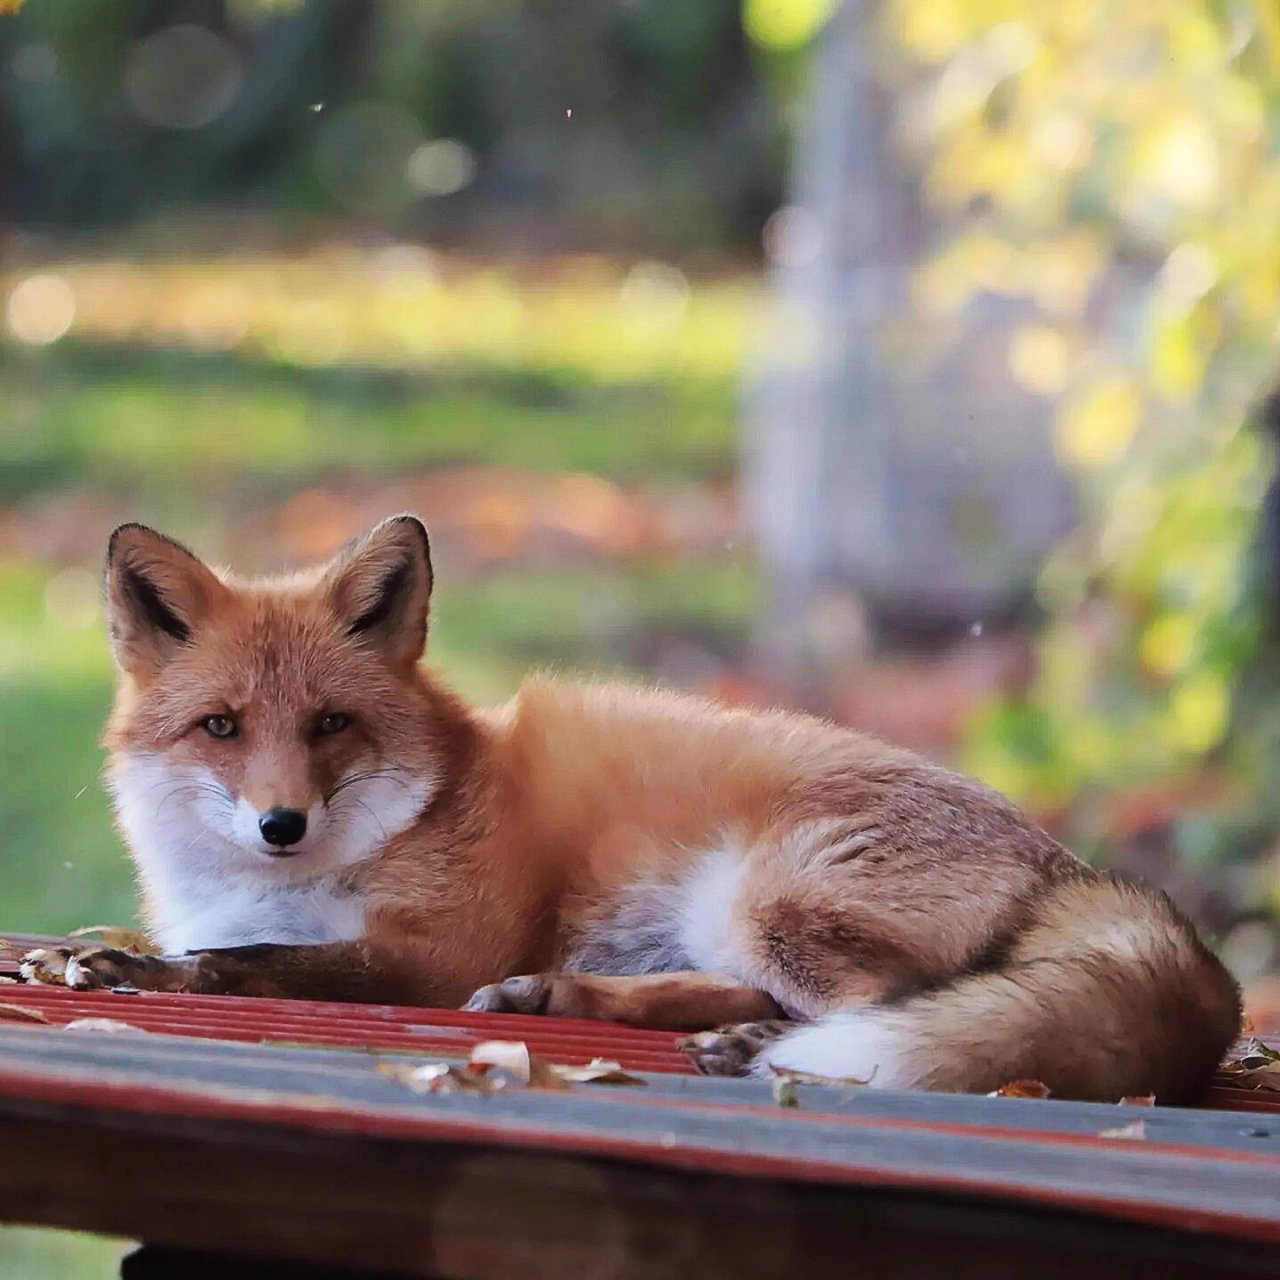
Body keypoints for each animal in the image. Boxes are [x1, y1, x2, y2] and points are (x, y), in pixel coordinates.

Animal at [27, 517, 1239, 1100]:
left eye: (331, 725)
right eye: (222, 727)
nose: (281, 824)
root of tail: (1069, 864)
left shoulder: (436, 950)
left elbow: (262, 964)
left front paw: (145, 974)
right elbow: (220, 943)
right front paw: (83, 949)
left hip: (762, 896)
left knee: (879, 1002)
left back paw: (743, 1041)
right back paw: (575, 996)